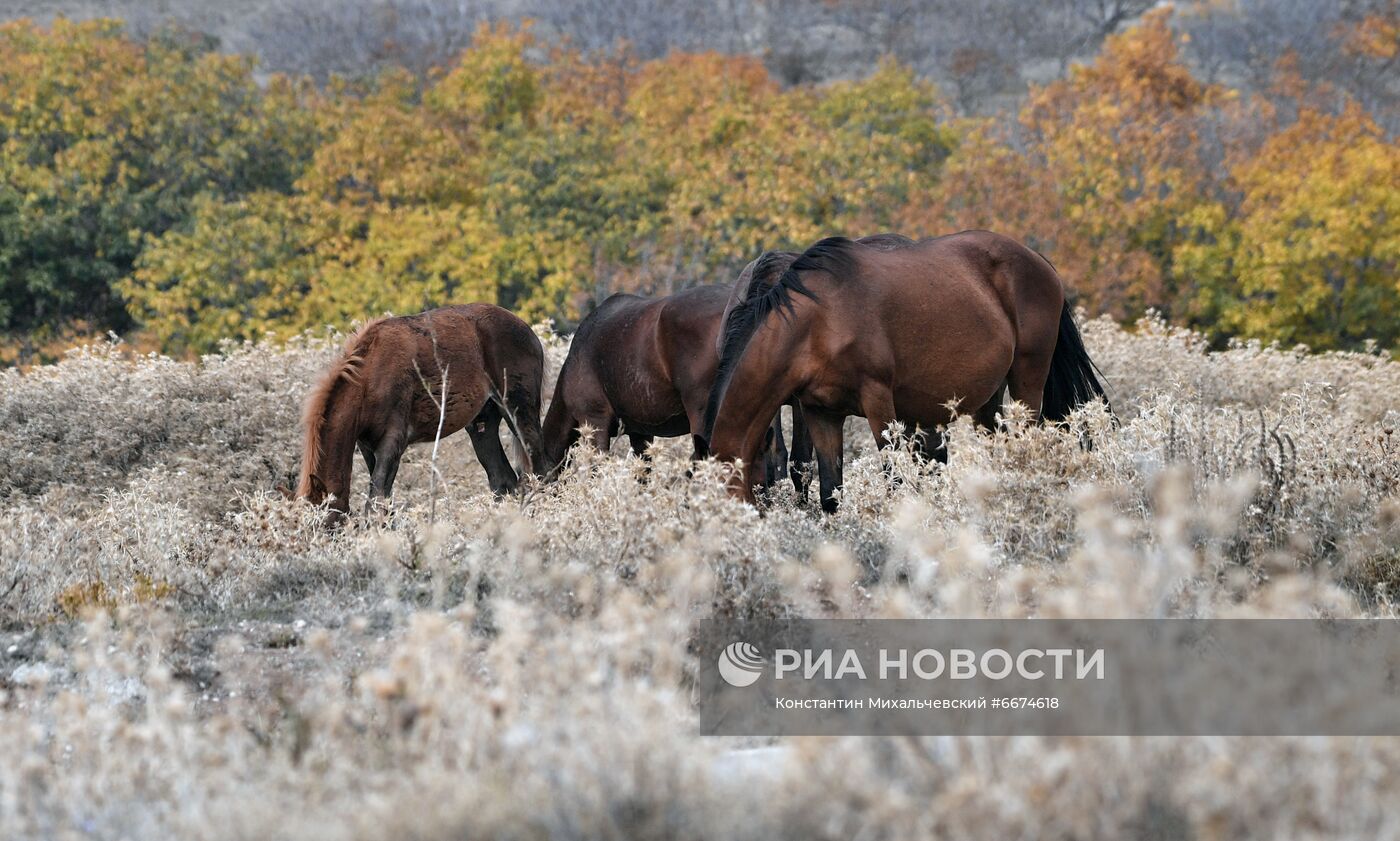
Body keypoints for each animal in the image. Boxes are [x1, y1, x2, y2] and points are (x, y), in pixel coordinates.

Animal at [296, 302, 546, 526]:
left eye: (322, 525)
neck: (370, 380)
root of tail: (526, 329)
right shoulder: (368, 446)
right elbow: (384, 499)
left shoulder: (392, 443)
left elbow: (376, 499)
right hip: (482, 426)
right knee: (502, 481)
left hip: (518, 414)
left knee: (541, 470)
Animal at [705, 226, 1108, 509]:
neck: (820, 322)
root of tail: (1037, 260)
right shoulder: (821, 413)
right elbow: (829, 492)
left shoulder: (878, 402)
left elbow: (893, 480)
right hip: (987, 399)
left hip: (1027, 382)